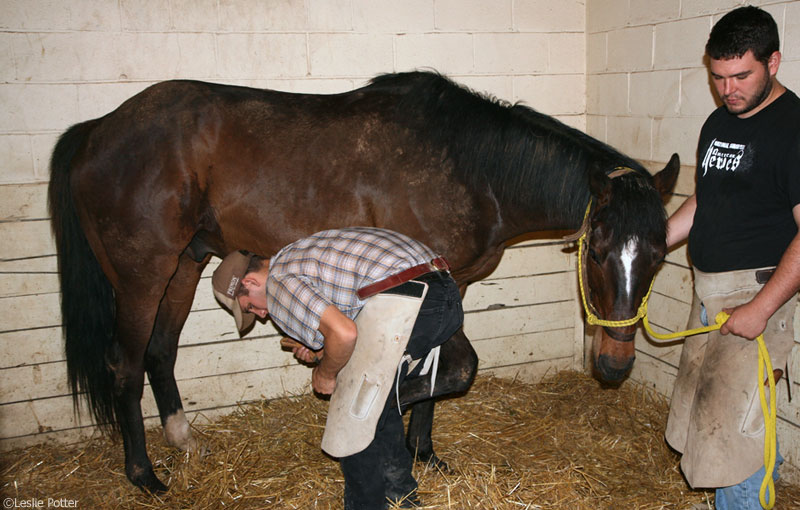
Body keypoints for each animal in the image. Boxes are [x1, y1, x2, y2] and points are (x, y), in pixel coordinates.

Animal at [47, 69, 680, 492]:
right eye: (598, 253)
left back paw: (183, 441)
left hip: (184, 265)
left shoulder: (456, 284)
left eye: (658, 254)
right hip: (142, 276)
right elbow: (452, 368)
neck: (472, 167)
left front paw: (424, 451)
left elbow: (443, 371)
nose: (614, 366)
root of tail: (98, 129)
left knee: (160, 352)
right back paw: (144, 476)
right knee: (126, 365)